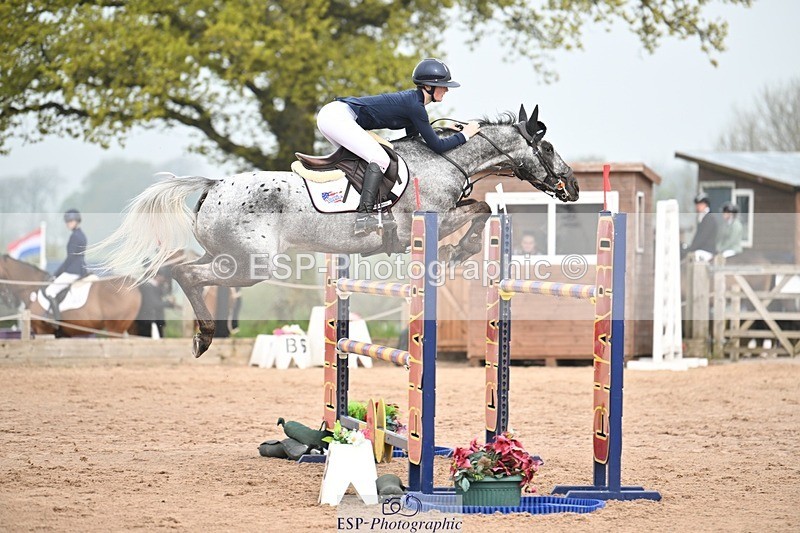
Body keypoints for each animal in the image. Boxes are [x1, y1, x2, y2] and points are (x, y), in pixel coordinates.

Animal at [94, 105, 579, 357]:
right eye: (548, 145)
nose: (571, 187)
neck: (445, 159)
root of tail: (213, 186)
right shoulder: (428, 222)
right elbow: (480, 208)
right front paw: (457, 254)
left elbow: (480, 205)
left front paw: (457, 253)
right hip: (251, 265)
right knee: (188, 274)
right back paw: (205, 335)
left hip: (229, 257)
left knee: (187, 270)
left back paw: (201, 334)